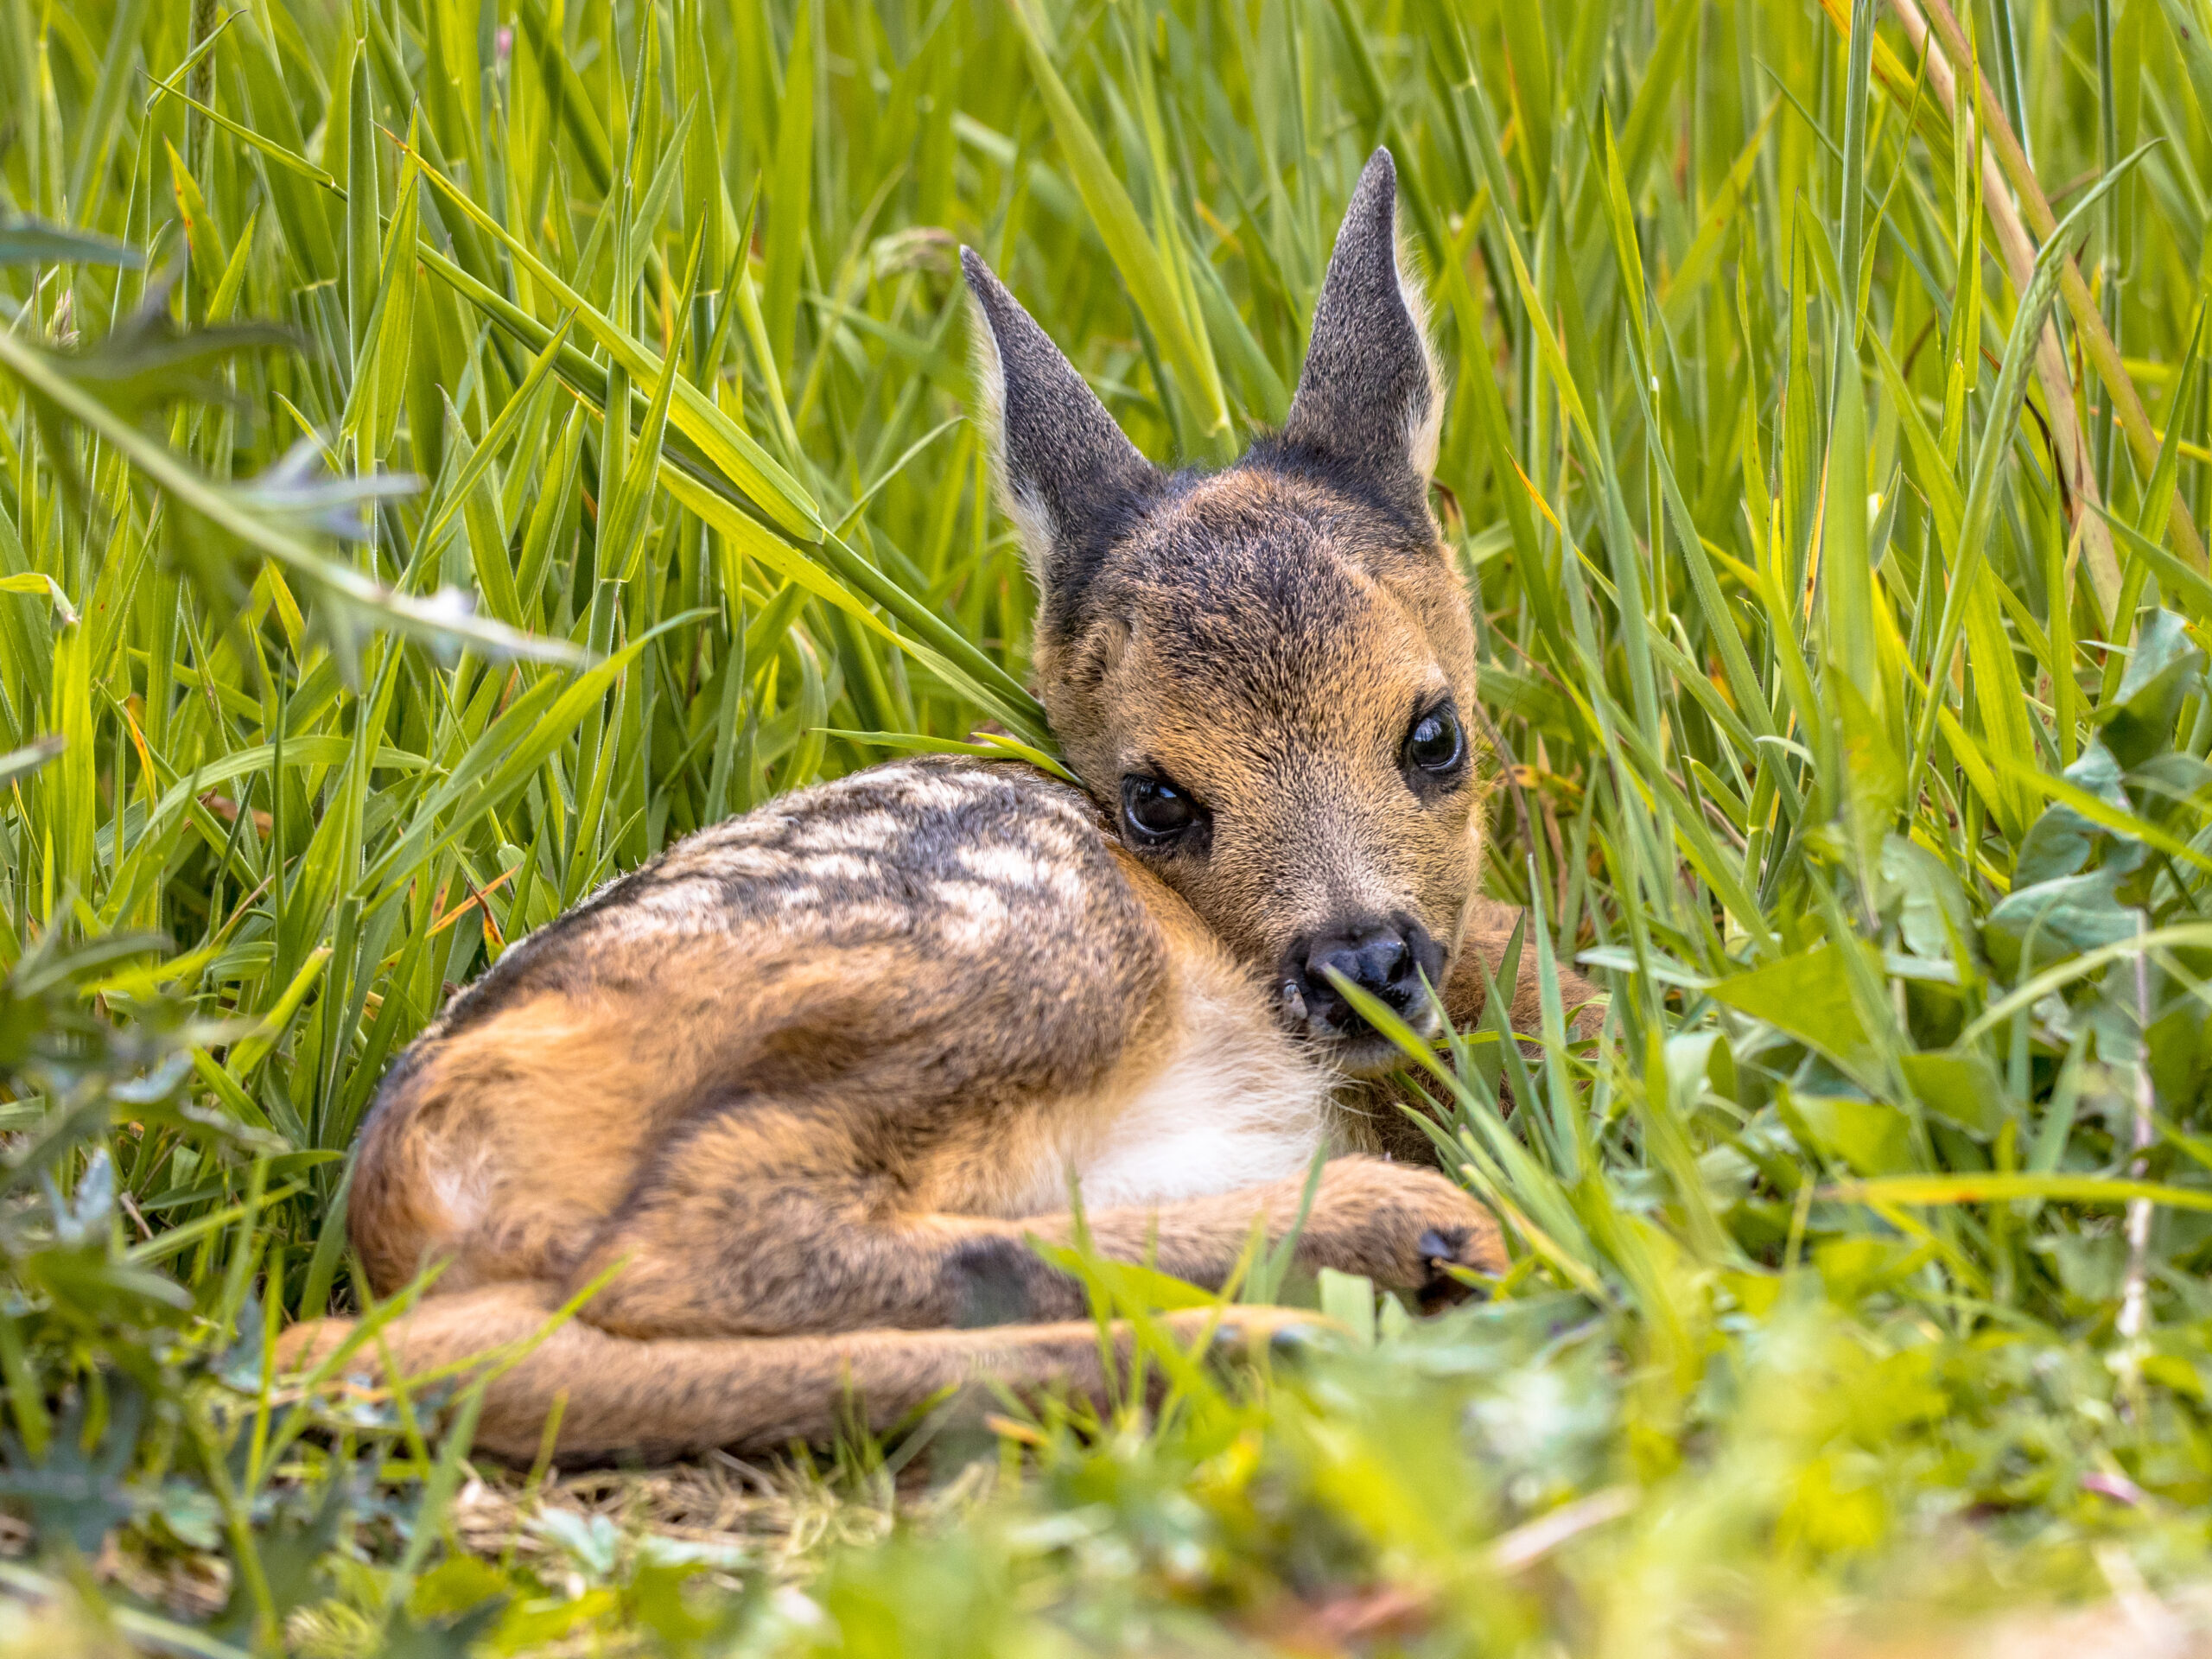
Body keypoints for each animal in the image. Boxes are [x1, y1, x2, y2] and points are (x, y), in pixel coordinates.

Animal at [281, 152, 1592, 1451]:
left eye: (1434, 734)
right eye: (1155, 801)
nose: (1362, 965)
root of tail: (402, 1185)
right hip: (1023, 954)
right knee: (689, 1237)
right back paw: (1393, 1240)